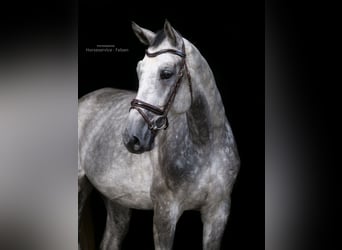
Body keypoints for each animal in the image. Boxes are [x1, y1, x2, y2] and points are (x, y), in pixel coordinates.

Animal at [79, 20, 240, 249]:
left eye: (166, 73)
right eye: (139, 70)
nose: (132, 138)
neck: (206, 144)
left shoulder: (218, 212)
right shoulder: (164, 213)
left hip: (116, 201)